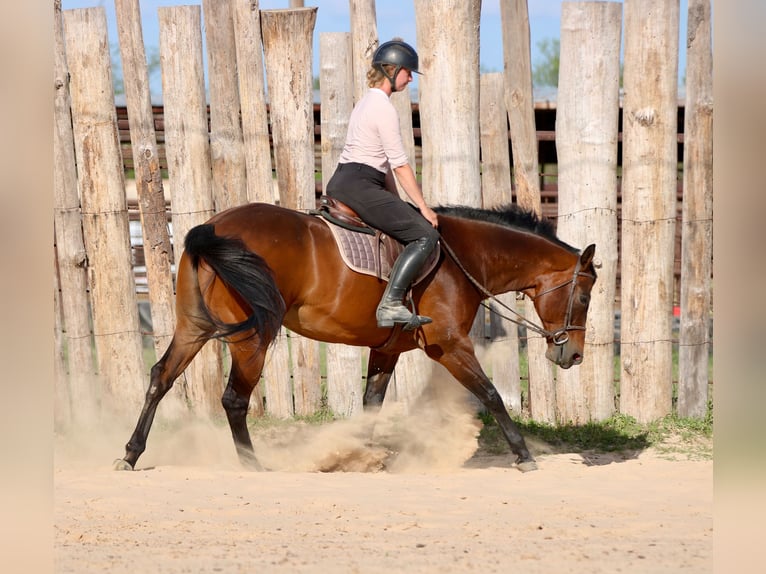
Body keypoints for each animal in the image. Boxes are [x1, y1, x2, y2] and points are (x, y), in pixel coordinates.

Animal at [113, 201, 597, 473]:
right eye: (585, 296)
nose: (573, 356)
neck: (460, 258)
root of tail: (210, 229)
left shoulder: (387, 350)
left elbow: (372, 405)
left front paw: (362, 457)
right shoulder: (450, 345)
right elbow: (491, 394)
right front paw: (524, 456)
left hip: (192, 328)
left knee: (160, 378)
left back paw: (131, 453)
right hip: (253, 338)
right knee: (234, 399)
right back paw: (252, 464)